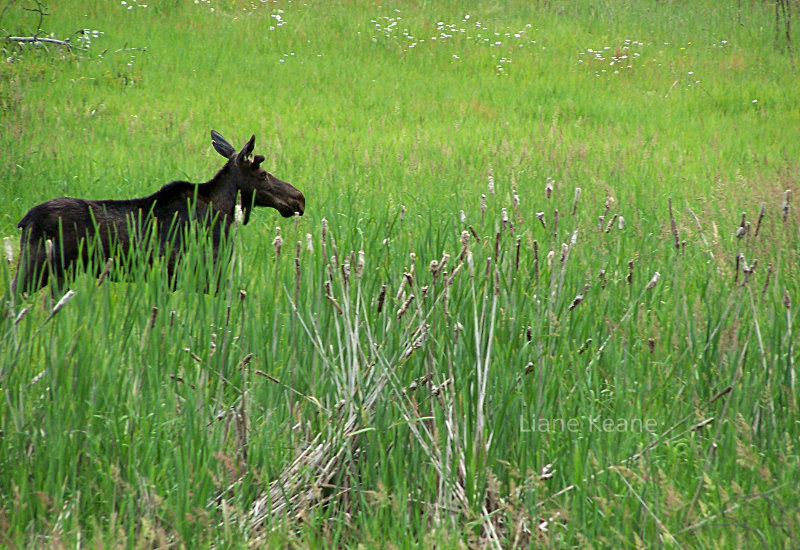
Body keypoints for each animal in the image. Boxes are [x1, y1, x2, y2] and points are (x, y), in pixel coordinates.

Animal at [12, 132, 306, 296]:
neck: (221, 212)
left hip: (60, 274)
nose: (299, 198)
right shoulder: (204, 275)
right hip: (36, 267)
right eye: (263, 173)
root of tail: (24, 221)